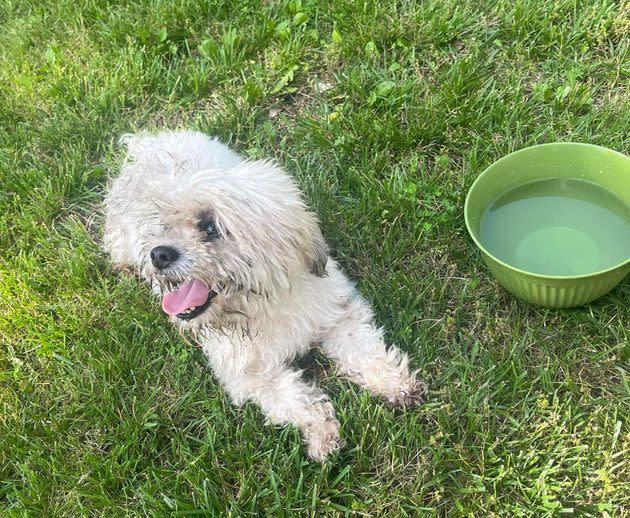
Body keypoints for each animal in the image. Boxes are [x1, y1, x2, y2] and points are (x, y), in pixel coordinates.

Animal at [103, 131, 430, 464]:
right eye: (164, 225)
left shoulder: (338, 315)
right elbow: (295, 398)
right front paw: (321, 432)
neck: (265, 303)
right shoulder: (252, 375)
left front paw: (394, 382)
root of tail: (143, 144)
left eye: (209, 226)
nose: (158, 254)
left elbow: (364, 350)